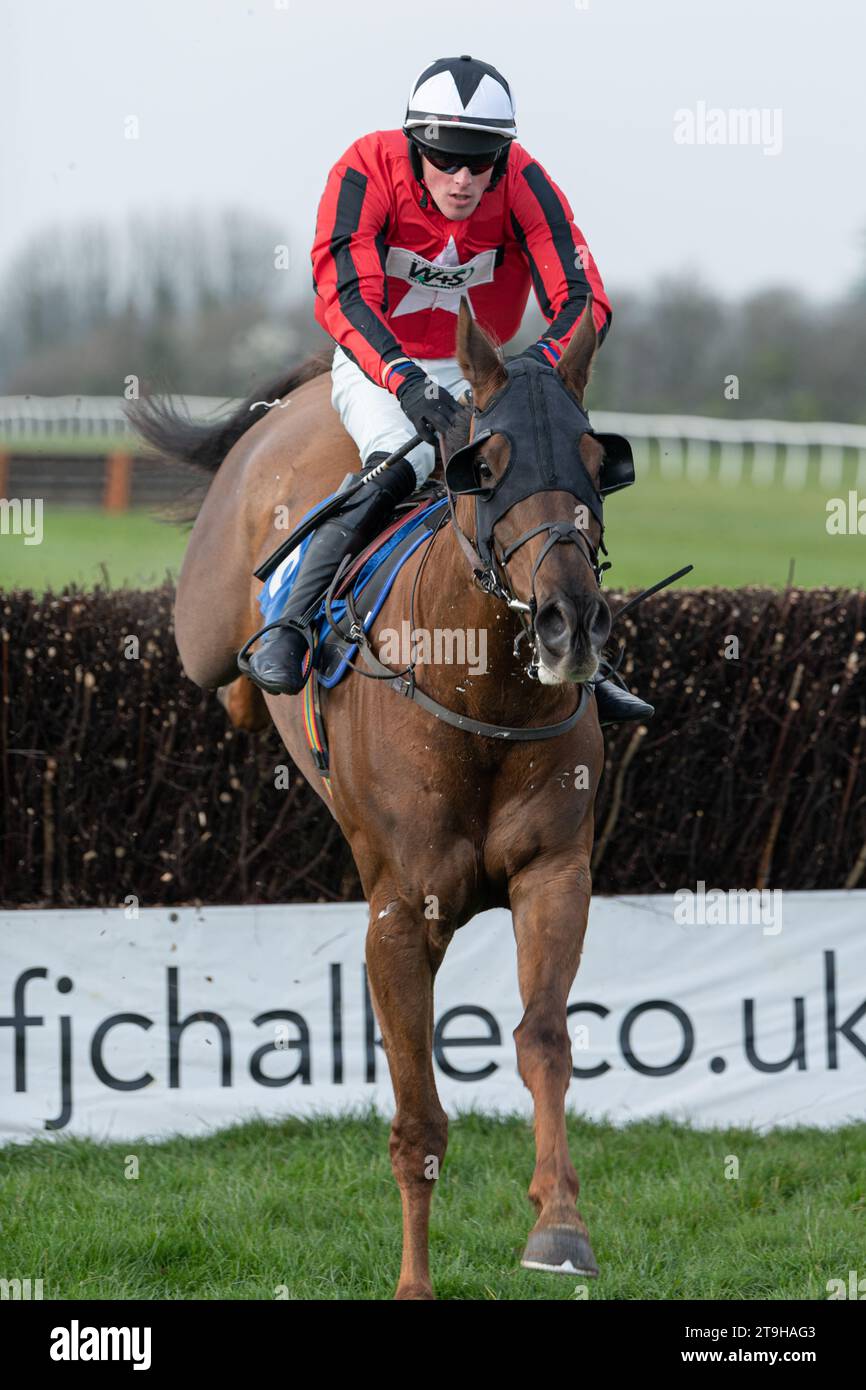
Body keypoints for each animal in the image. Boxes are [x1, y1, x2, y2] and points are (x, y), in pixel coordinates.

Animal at [136, 298, 608, 1295]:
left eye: (596, 460)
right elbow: (419, 1122)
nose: (570, 624)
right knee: (220, 671)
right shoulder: (398, 912)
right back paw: (267, 663)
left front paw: (559, 1224)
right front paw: (415, 1283)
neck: (482, 699)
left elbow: (545, 1039)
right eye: (487, 466)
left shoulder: (555, 872)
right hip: (201, 626)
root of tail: (310, 391)